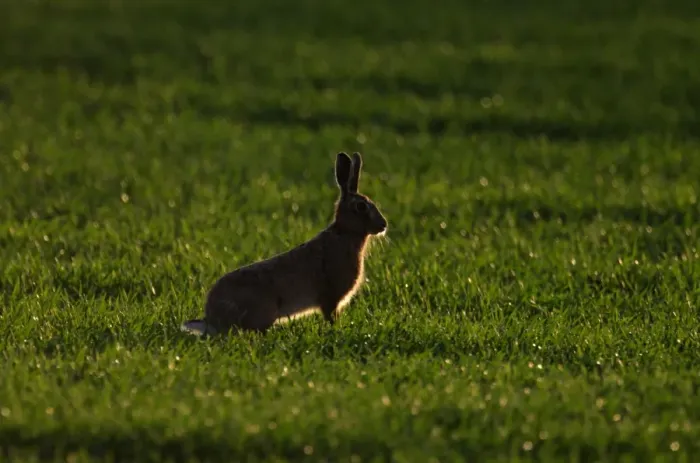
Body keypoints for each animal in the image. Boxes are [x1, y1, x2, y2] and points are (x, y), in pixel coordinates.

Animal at [181, 152, 388, 336]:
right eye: (361, 207)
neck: (345, 233)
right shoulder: (329, 298)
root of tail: (211, 319)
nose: (383, 225)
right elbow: (330, 316)